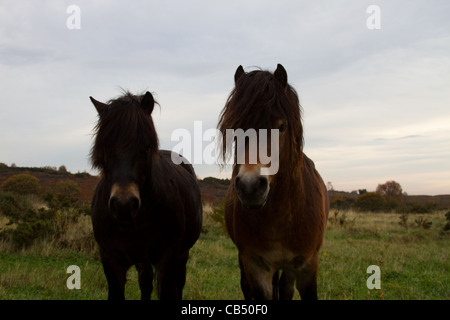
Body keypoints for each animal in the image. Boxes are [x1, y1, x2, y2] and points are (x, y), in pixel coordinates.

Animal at [89, 90, 202, 300]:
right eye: (105, 146)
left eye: (147, 146)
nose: (124, 204)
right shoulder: (110, 260)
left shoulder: (168, 256)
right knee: (146, 282)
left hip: (181, 254)